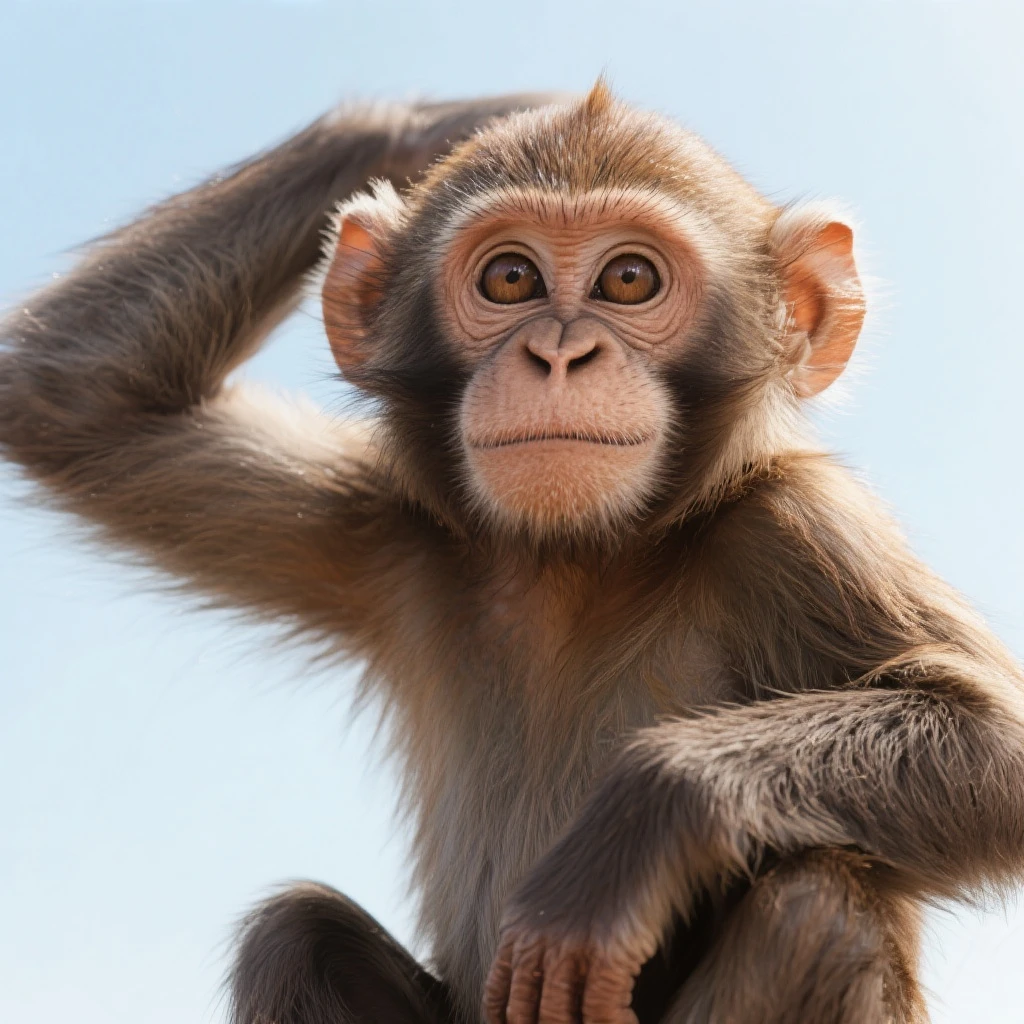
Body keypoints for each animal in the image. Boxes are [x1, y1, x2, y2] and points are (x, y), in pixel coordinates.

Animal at [2, 79, 1024, 1024]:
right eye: (509, 280)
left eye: (628, 280)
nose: (560, 353)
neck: (578, 560)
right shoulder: (388, 520)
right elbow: (83, 407)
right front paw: (442, 120)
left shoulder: (800, 523)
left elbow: (999, 745)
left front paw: (642, 823)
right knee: (294, 933)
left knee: (816, 908)